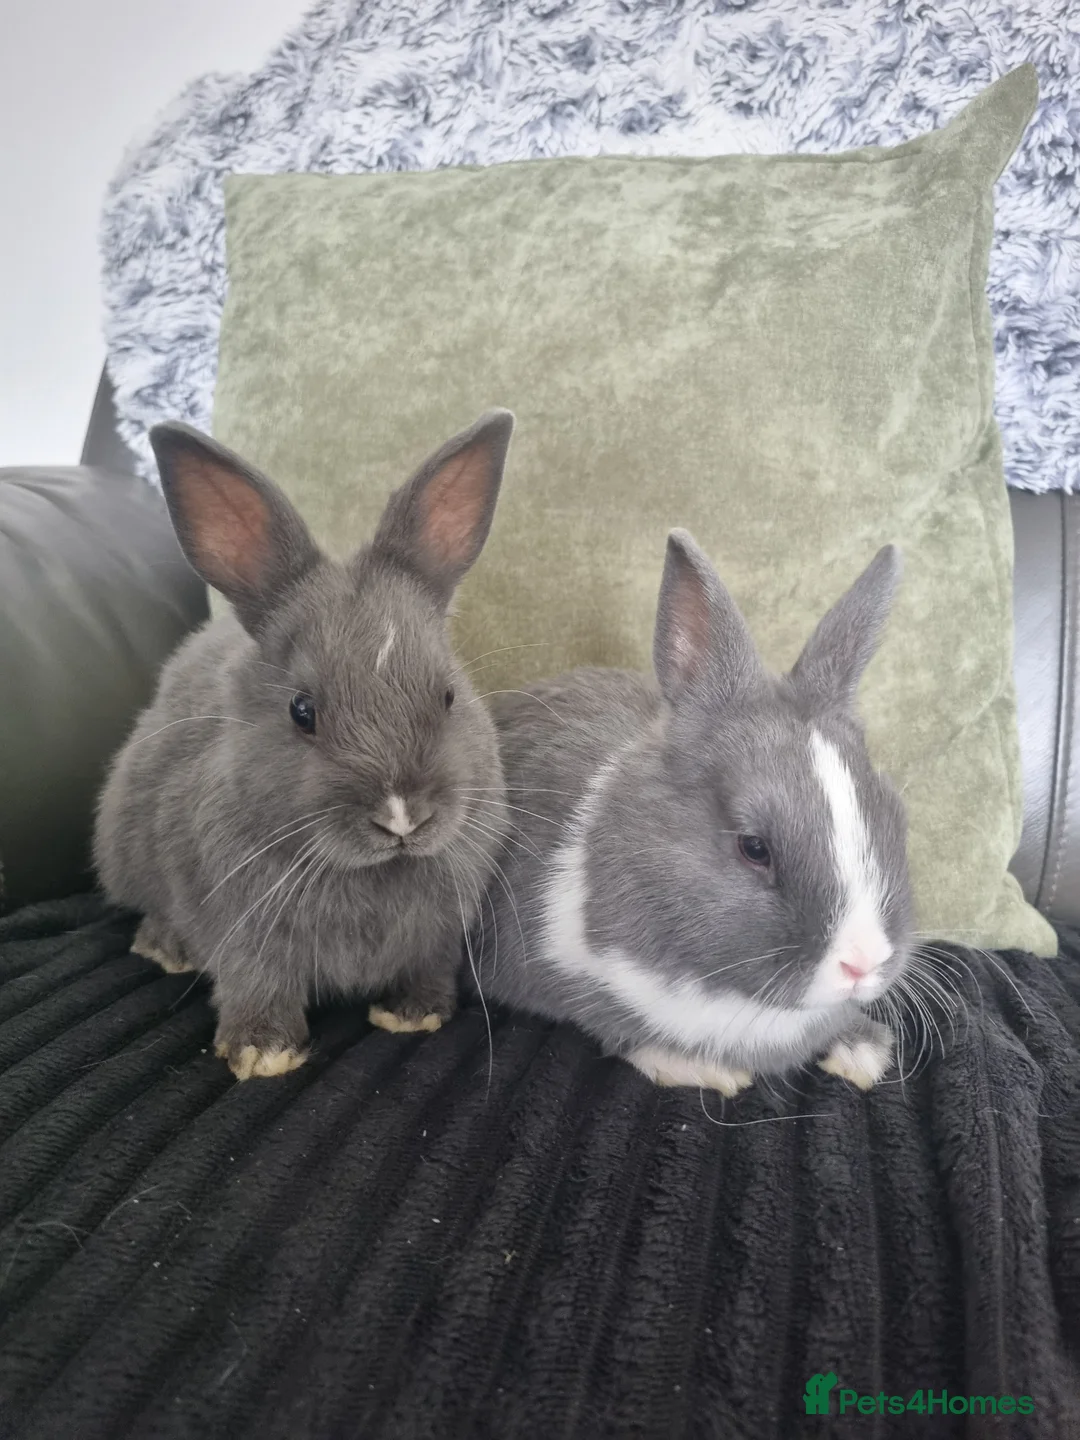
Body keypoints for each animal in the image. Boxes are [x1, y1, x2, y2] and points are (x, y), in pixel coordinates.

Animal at [94, 410, 514, 1079]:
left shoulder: (439, 938)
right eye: (302, 710)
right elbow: (256, 986)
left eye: (448, 696)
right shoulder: (246, 939)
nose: (402, 816)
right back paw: (168, 948)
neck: (374, 873)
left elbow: (427, 973)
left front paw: (414, 1016)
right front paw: (263, 1054)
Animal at [473, 529, 912, 1095]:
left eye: (895, 816)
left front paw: (863, 1052)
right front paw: (705, 1068)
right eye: (754, 847)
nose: (863, 963)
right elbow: (614, 1024)